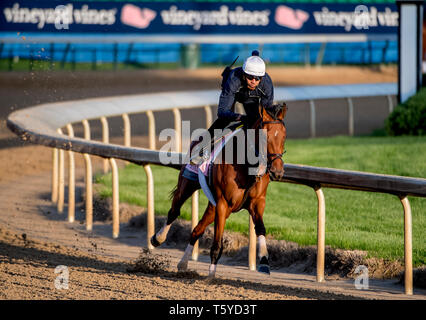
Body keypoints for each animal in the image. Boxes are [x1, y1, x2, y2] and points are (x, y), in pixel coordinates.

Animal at [150, 103, 286, 278]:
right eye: (265, 137)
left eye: (283, 137)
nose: (278, 172)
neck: (247, 165)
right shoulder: (223, 202)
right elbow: (217, 243)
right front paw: (211, 276)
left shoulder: (257, 203)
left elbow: (260, 228)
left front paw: (264, 262)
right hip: (188, 185)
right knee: (174, 211)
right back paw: (158, 238)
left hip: (213, 206)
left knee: (197, 230)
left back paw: (183, 263)